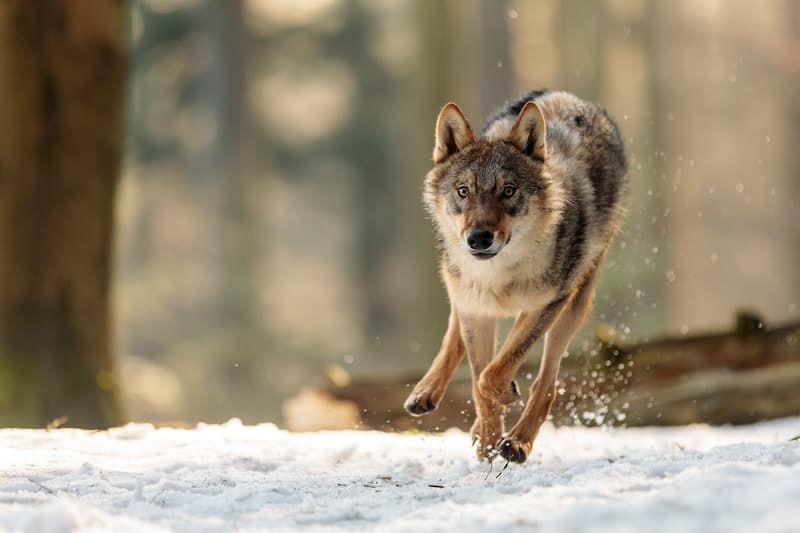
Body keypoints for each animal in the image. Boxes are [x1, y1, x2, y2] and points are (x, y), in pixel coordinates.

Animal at [403, 90, 627, 463]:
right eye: (463, 191)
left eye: (508, 190)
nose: (479, 238)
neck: (498, 276)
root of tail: (563, 95)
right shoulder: (476, 309)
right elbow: (479, 379)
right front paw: (488, 438)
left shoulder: (547, 304)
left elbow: (494, 372)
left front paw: (502, 418)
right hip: (462, 293)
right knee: (454, 336)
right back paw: (426, 393)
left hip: (574, 306)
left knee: (547, 384)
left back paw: (518, 442)